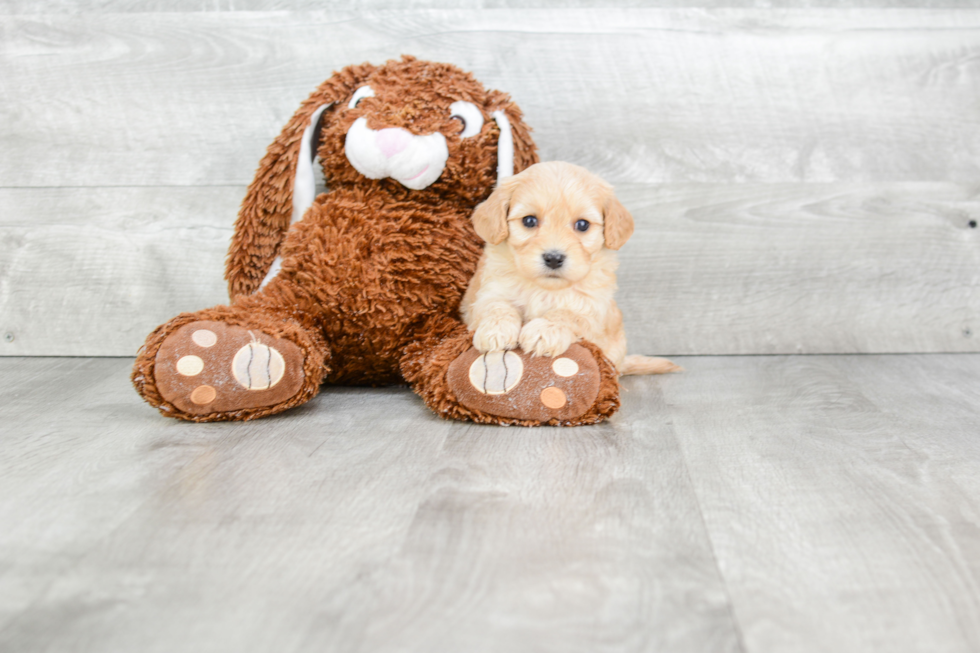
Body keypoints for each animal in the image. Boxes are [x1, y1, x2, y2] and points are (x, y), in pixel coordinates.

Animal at [462, 162, 680, 374]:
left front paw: (544, 330)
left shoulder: (592, 307)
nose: (553, 258)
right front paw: (496, 329)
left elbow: (568, 314)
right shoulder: (490, 291)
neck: (544, 289)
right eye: (529, 220)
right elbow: (496, 306)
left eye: (582, 224)